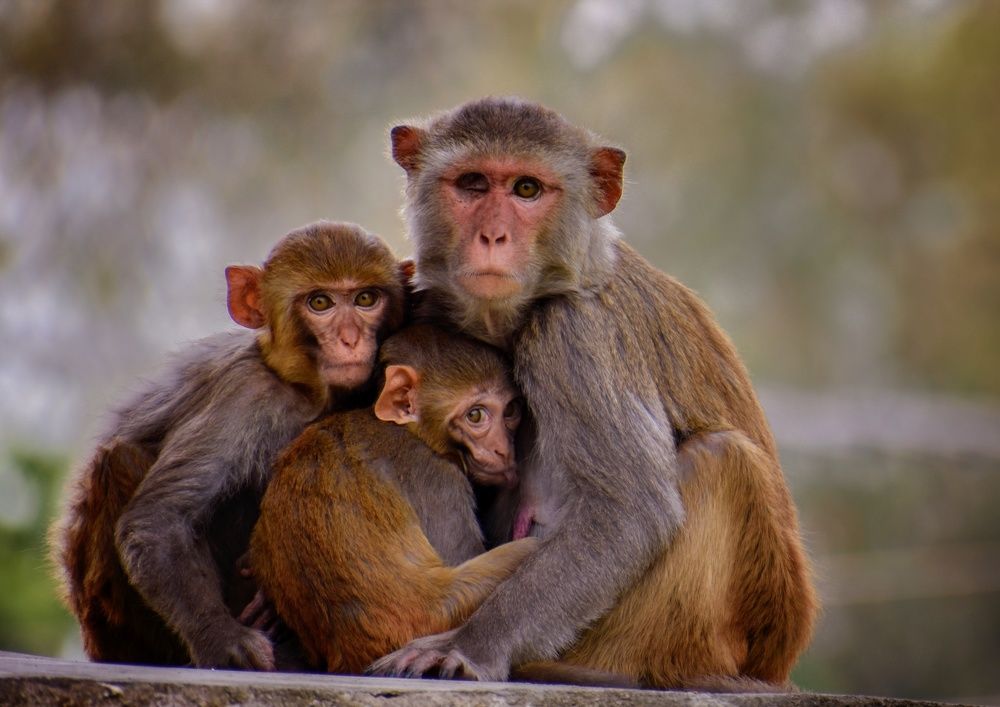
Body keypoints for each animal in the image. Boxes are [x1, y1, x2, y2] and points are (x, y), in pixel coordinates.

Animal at [49, 220, 407, 670]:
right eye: (320, 303)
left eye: (365, 299)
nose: (349, 338)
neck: (305, 391)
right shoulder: (245, 395)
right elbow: (157, 521)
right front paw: (222, 640)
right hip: (109, 622)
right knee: (120, 460)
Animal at [368, 98, 818, 690]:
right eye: (472, 184)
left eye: (527, 190)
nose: (492, 237)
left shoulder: (576, 335)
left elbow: (629, 512)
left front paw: (469, 646)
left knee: (721, 458)